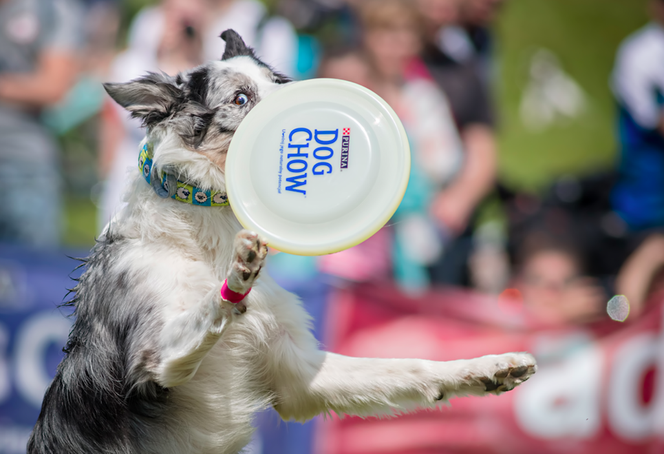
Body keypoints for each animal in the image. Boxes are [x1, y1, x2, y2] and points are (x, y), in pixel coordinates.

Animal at [28, 30, 536, 452]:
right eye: (241, 97)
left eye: (278, 79)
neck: (204, 223)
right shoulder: (152, 360)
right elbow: (209, 312)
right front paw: (239, 274)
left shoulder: (297, 372)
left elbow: (406, 367)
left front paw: (486, 367)